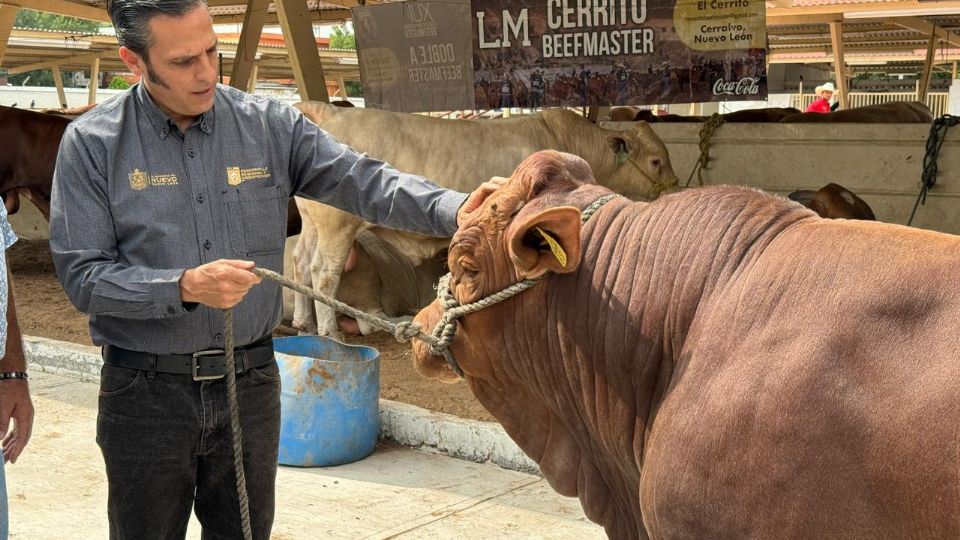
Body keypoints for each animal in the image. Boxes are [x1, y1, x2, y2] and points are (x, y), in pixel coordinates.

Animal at [290, 103, 676, 336]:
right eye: (656, 161)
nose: (674, 189)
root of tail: (326, 112)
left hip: (312, 226)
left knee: (300, 263)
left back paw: (302, 323)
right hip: (337, 226)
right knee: (324, 274)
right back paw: (330, 332)